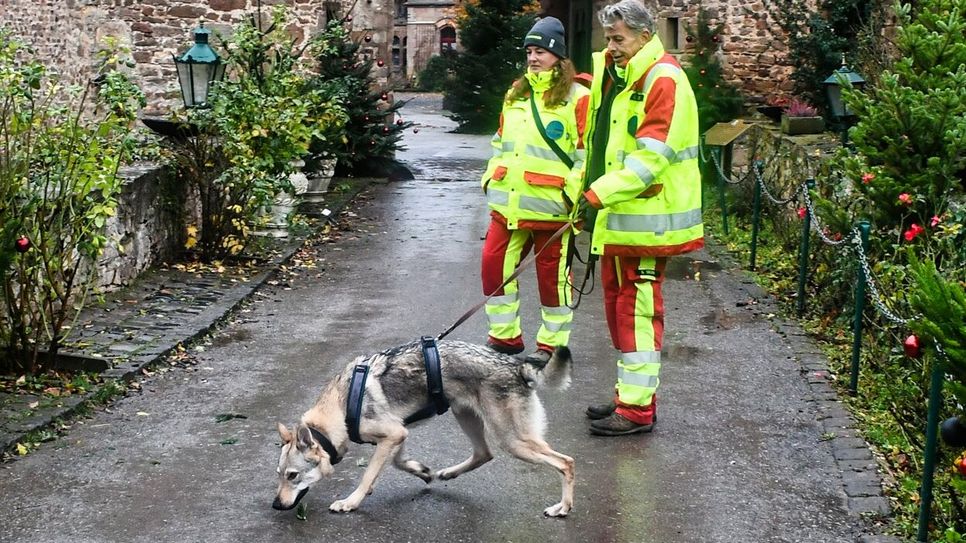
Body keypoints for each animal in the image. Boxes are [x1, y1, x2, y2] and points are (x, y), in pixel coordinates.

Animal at [274, 342, 576, 516]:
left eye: (292, 475)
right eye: (278, 475)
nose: (276, 504)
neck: (343, 402)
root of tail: (516, 365)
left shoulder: (392, 435)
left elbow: (368, 475)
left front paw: (351, 502)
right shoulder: (398, 435)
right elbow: (397, 463)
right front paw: (422, 472)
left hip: (513, 441)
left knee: (566, 462)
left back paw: (563, 507)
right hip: (466, 416)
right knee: (483, 454)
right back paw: (448, 472)